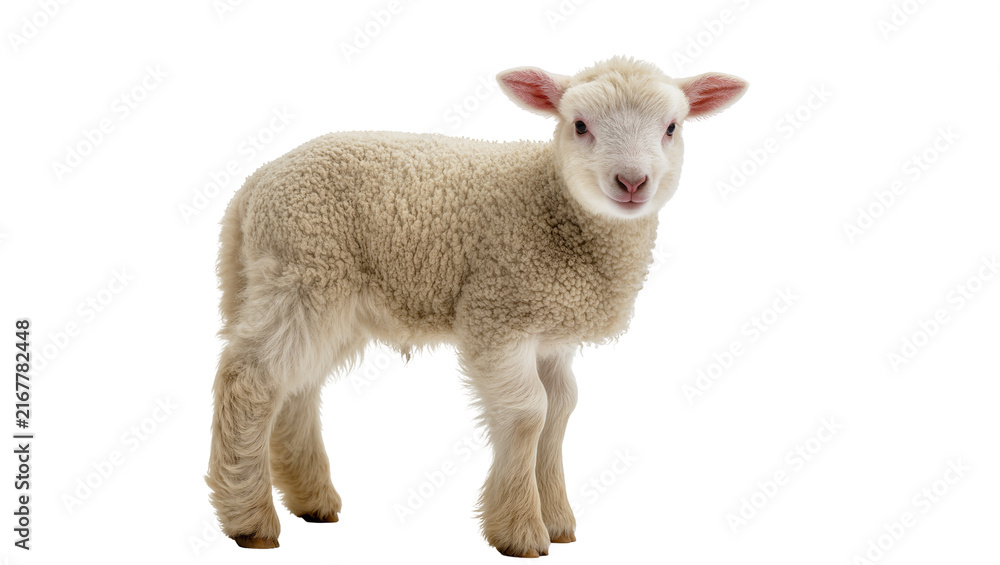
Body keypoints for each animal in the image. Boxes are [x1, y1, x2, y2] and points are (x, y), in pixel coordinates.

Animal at [206, 56, 747, 557]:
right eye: (579, 125)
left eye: (672, 127)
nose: (632, 182)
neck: (553, 203)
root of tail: (252, 187)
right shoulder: (497, 312)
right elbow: (529, 414)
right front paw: (520, 530)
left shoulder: (552, 334)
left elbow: (560, 410)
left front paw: (558, 522)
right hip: (304, 271)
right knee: (252, 380)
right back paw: (250, 520)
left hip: (324, 295)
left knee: (298, 387)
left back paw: (312, 500)